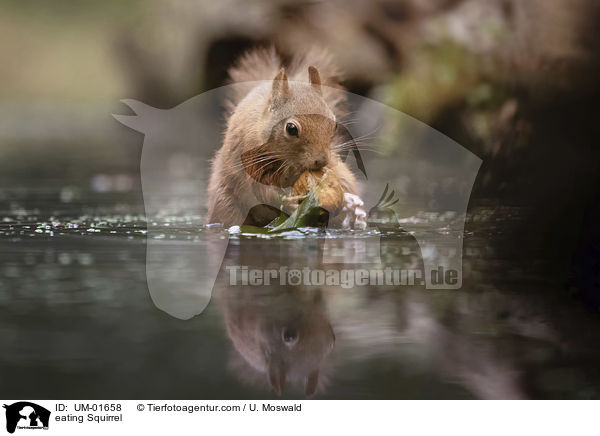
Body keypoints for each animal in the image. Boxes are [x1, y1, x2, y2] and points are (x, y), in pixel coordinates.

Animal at [206, 48, 366, 228]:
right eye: (291, 128)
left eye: (335, 124)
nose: (322, 160)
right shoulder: (248, 158)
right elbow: (261, 190)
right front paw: (288, 202)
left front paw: (349, 204)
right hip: (225, 204)